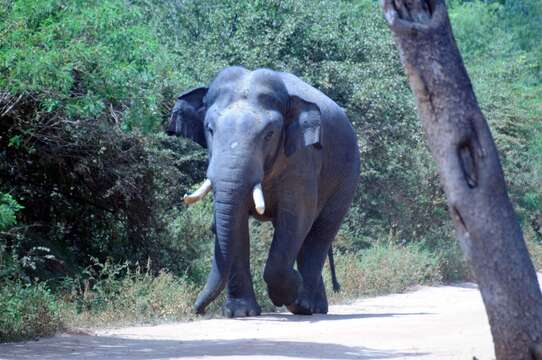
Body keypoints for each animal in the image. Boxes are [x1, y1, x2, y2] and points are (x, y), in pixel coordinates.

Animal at [166, 66, 362, 316]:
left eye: (269, 134)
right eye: (209, 129)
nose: (197, 309)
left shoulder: (302, 158)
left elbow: (297, 216)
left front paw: (289, 292)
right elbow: (237, 223)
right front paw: (240, 313)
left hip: (348, 174)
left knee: (321, 230)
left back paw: (305, 305)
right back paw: (314, 306)